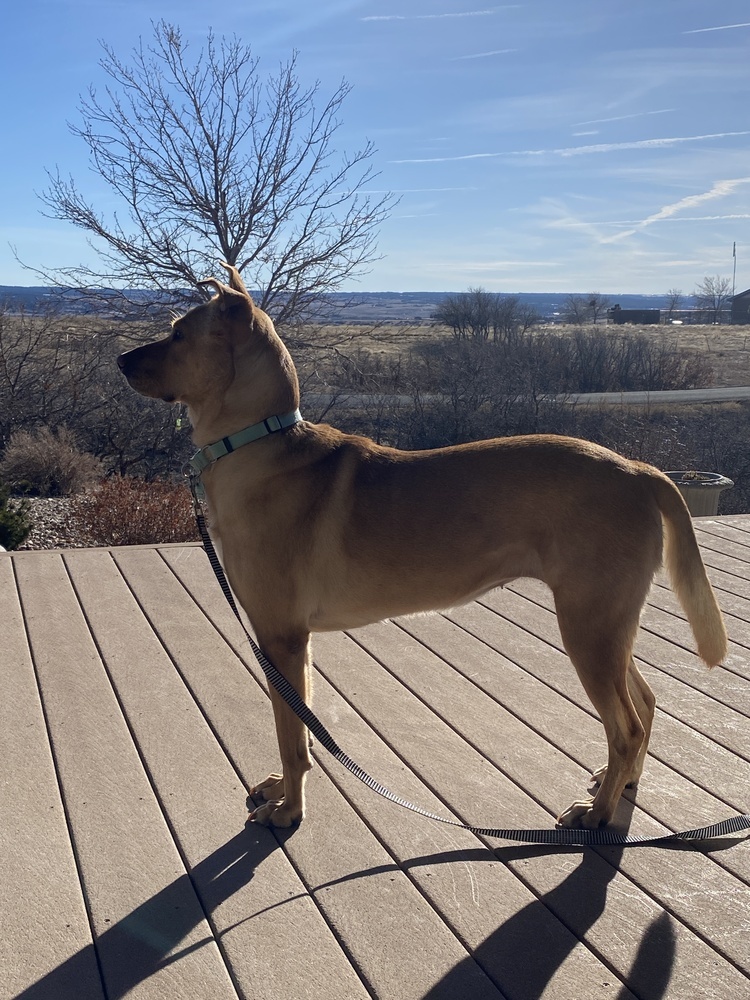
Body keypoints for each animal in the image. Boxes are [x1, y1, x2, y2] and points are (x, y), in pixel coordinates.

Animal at [119, 264, 728, 828]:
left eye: (178, 333)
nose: (121, 361)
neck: (259, 440)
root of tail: (639, 469)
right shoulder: (294, 644)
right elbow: (302, 723)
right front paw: (285, 788)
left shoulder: (279, 636)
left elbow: (291, 738)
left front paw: (291, 809)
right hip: (606, 626)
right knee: (645, 705)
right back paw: (618, 784)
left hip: (589, 627)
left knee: (626, 725)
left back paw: (597, 813)